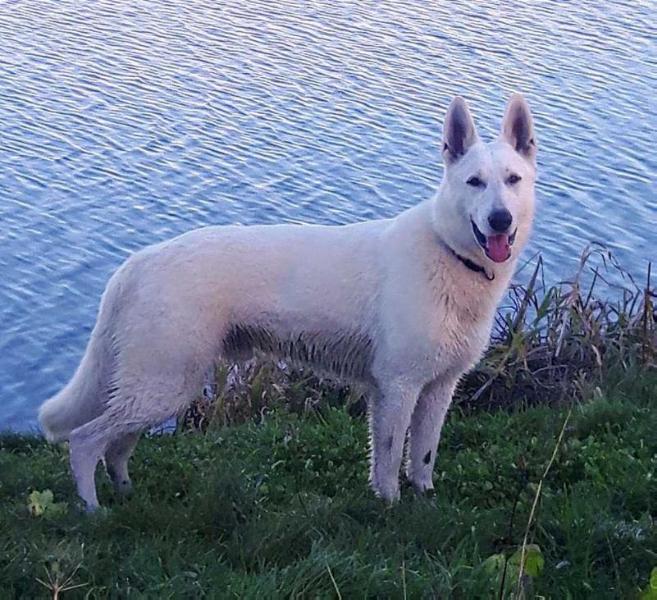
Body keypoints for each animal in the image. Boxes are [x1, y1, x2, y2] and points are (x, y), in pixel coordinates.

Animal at [38, 94, 536, 510]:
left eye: (513, 180)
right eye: (474, 182)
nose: (500, 220)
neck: (449, 252)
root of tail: (137, 262)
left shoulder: (436, 389)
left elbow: (422, 458)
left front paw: (422, 500)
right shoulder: (398, 388)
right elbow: (392, 459)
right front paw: (391, 510)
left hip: (160, 386)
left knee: (117, 446)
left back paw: (126, 495)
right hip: (163, 384)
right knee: (85, 441)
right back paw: (94, 511)